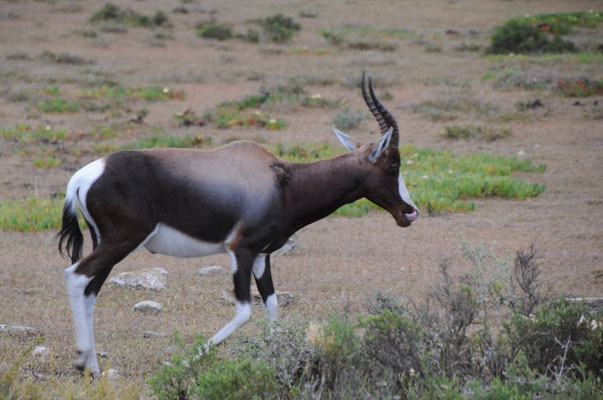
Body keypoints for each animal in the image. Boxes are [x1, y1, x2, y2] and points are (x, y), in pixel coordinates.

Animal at [57, 73, 420, 374]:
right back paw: (82, 361)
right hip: (121, 241)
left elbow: (272, 308)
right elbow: (245, 312)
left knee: (89, 290)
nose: (410, 212)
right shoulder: (241, 251)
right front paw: (182, 363)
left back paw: (93, 368)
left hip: (106, 242)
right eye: (393, 164)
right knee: (76, 276)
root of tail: (84, 176)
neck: (282, 182)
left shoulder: (261, 256)